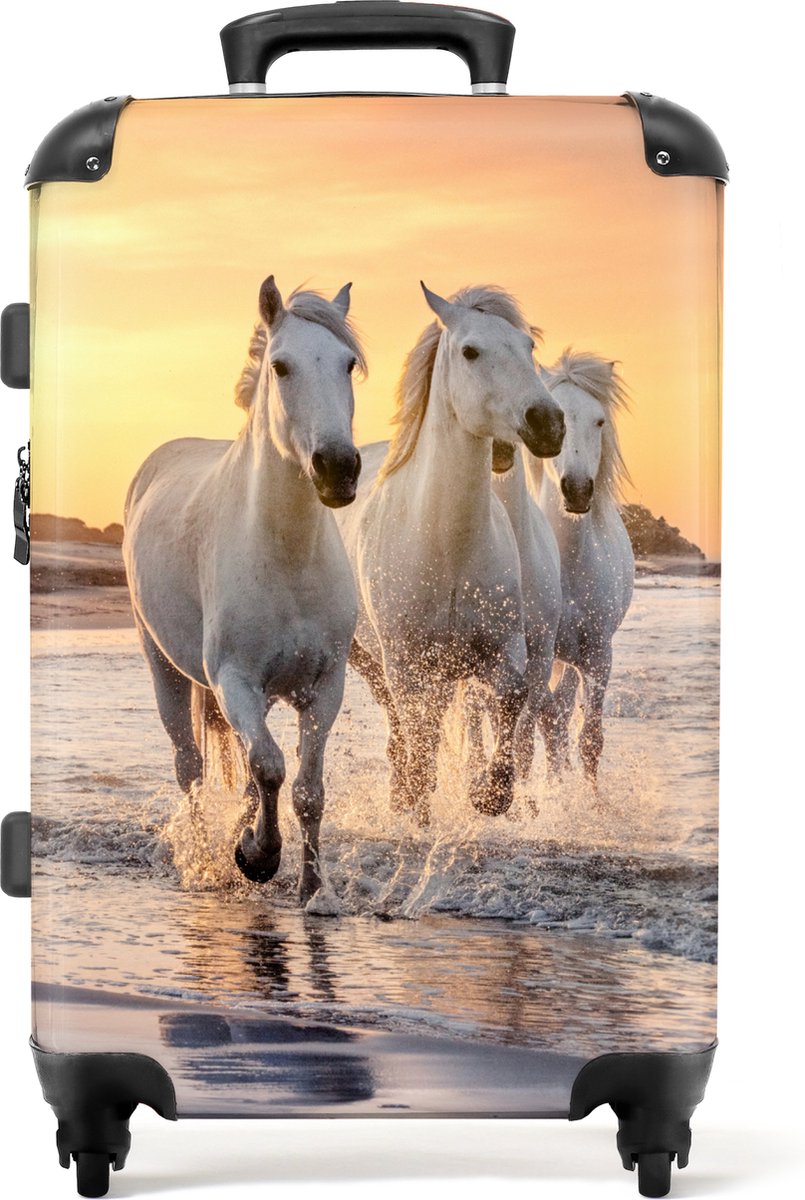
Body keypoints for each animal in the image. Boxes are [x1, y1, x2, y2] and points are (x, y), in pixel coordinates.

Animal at [123, 275, 366, 905]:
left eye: (348, 364)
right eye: (280, 366)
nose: (338, 467)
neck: (286, 557)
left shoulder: (324, 686)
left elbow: (304, 788)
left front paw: (311, 888)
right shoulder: (233, 679)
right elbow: (271, 768)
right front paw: (257, 856)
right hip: (164, 665)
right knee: (190, 767)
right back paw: (207, 859)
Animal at [336, 283, 565, 825]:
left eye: (528, 347)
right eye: (470, 351)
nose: (547, 423)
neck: (448, 547)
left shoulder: (505, 650)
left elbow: (511, 701)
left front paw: (489, 794)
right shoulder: (405, 663)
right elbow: (419, 738)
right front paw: (418, 805)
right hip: (370, 660)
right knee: (403, 730)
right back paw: (403, 798)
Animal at [523, 351, 635, 780]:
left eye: (599, 421)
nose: (577, 490)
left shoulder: (598, 655)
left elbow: (588, 739)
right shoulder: (534, 654)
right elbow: (545, 725)